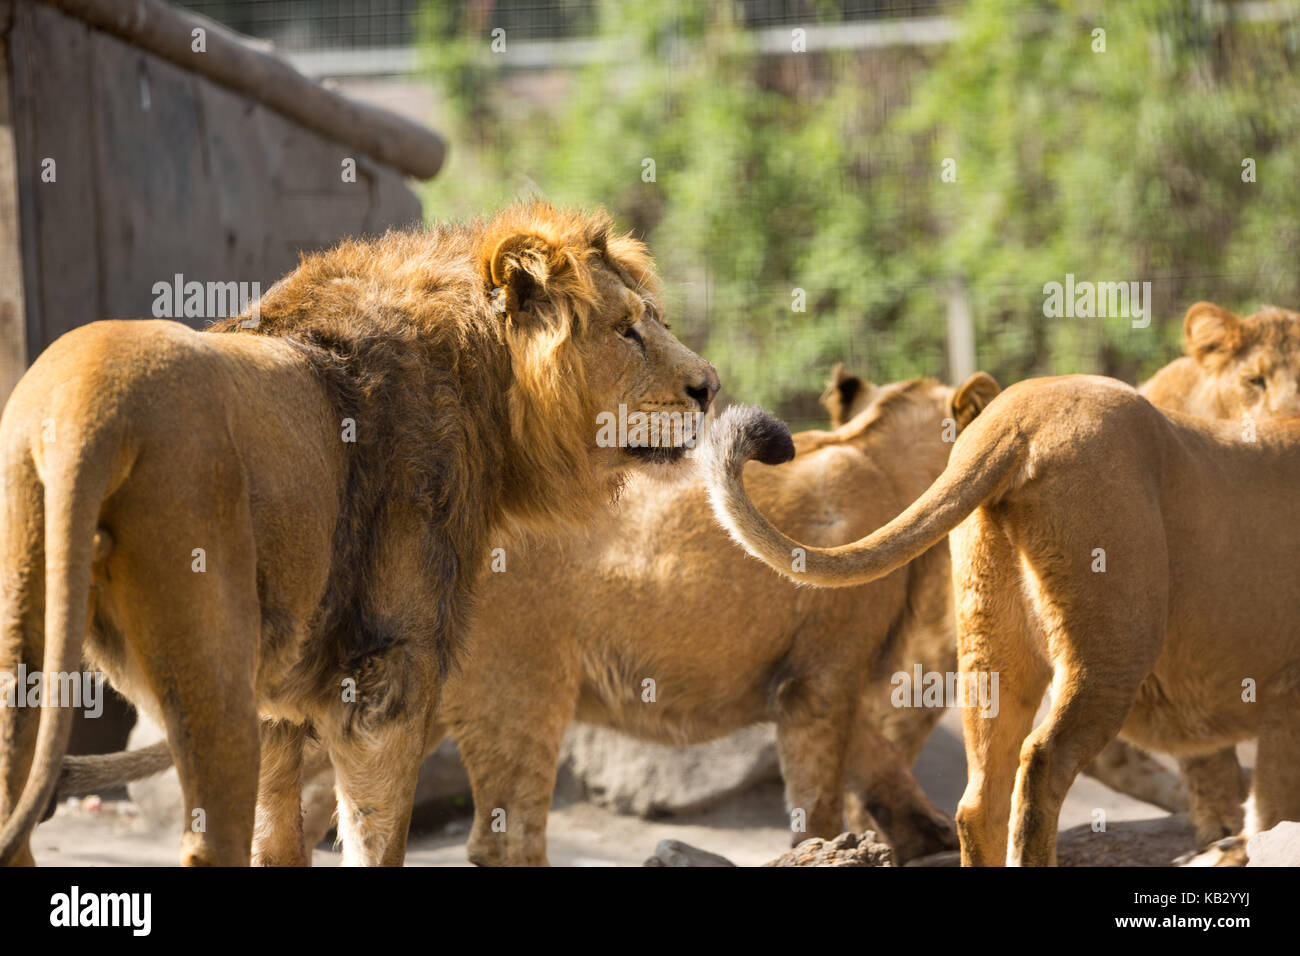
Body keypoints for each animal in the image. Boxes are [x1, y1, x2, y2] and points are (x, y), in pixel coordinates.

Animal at [0, 201, 722, 868]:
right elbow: (375, 838)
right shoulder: (387, 673)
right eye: (627, 330)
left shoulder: (282, 707)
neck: (483, 384)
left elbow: (279, 842)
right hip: (213, 666)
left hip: (28, 648)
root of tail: (85, 405)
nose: (711, 387)